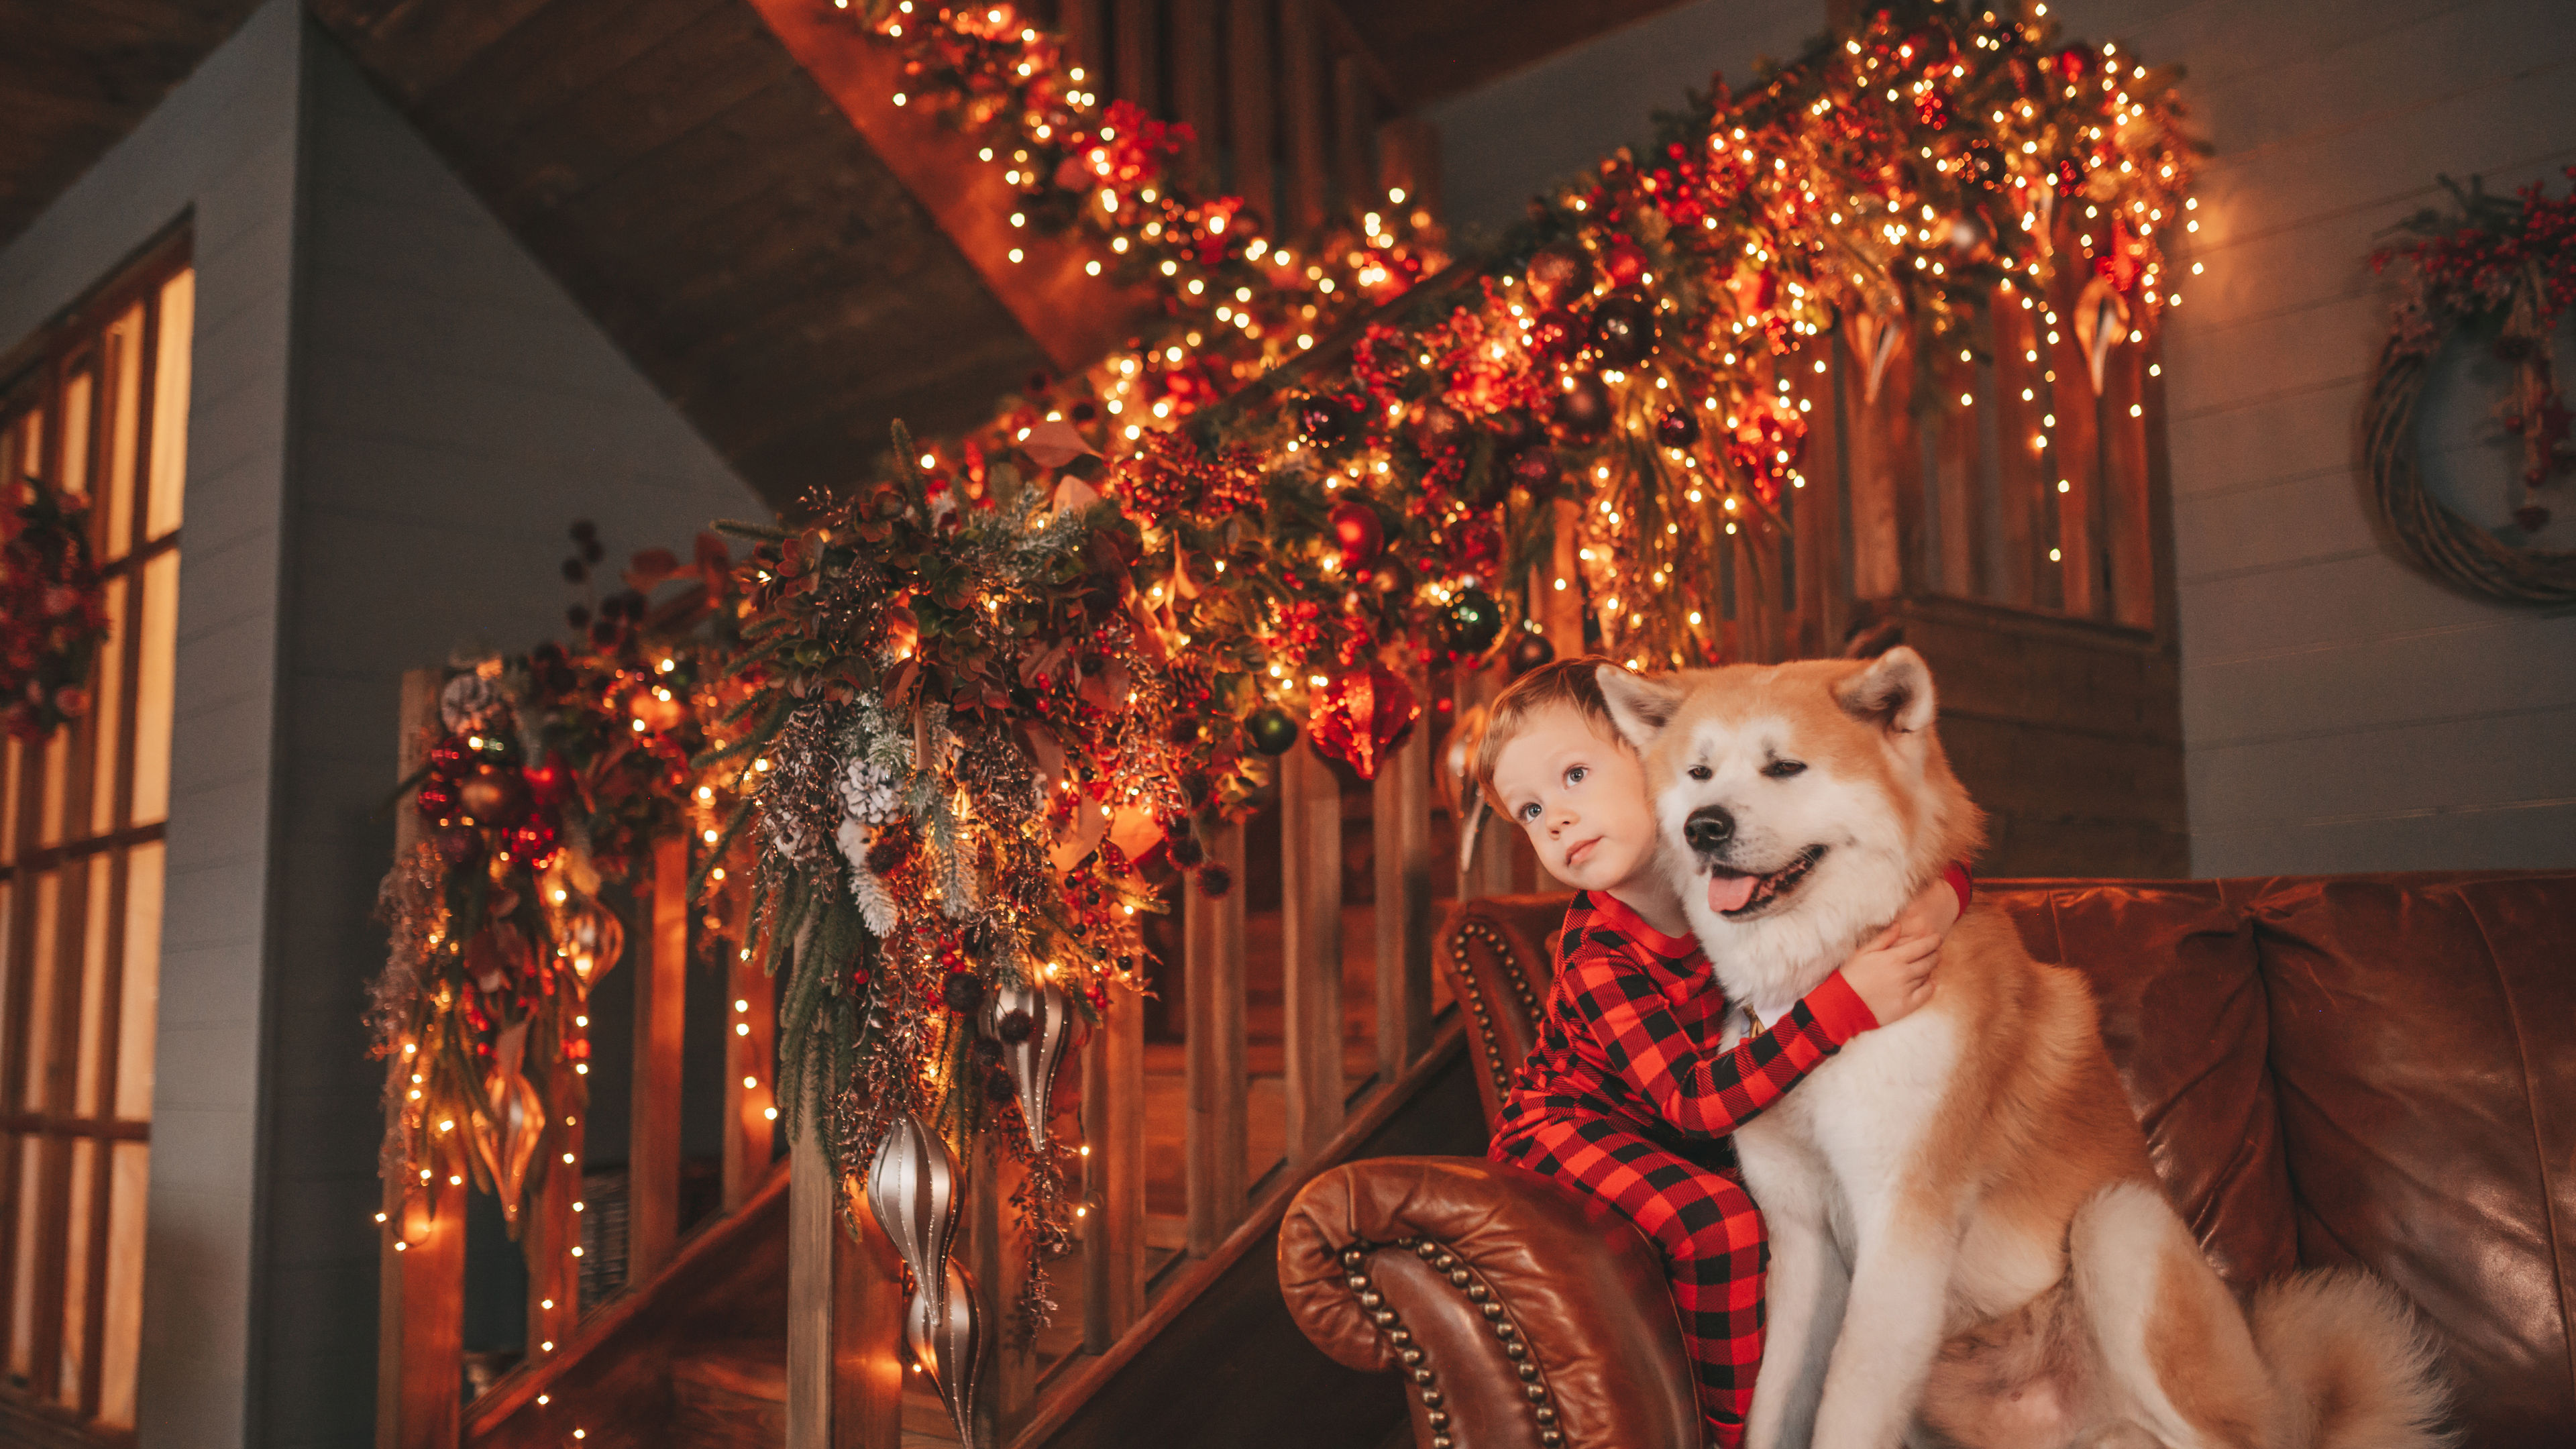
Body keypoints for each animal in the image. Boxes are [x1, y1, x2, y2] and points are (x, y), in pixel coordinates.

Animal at [1587, 652, 2452, 1444]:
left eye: (1785, 766)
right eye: (1699, 773)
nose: (1704, 826)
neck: (1824, 992)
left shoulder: (1902, 1228)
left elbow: (1846, 1409)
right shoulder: (1802, 1242)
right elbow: (1778, 1403)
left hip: (2121, 1225)